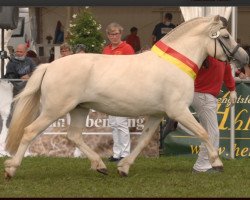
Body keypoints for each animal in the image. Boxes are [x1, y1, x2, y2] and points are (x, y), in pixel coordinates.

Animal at [3, 15, 248, 178]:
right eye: (226, 36)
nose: (244, 58)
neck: (175, 63)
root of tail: (49, 66)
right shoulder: (178, 111)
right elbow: (203, 133)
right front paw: (217, 163)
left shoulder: (157, 114)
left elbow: (144, 140)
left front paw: (124, 167)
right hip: (54, 110)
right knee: (30, 131)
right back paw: (11, 169)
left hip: (80, 108)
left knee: (74, 136)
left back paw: (100, 166)